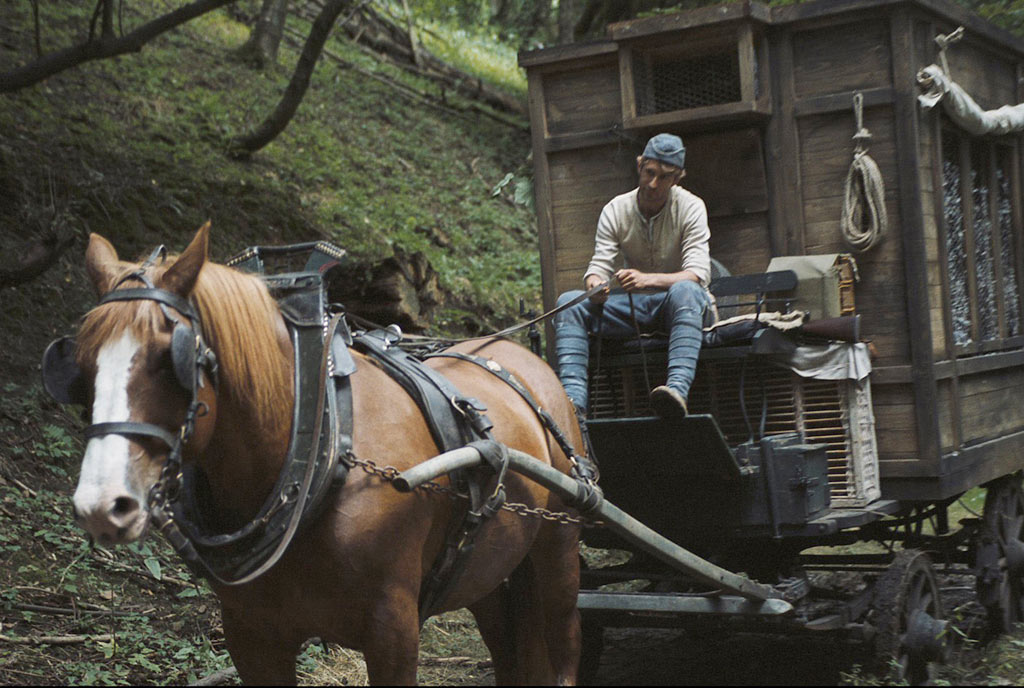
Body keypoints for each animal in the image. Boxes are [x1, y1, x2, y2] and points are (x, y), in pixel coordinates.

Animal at [66, 224, 585, 683]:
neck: (323, 449)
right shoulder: (252, 637)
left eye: (166, 359)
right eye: (80, 364)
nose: (101, 505)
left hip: (559, 546)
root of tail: (519, 355)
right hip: (487, 571)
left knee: (563, 650)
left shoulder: (394, 632)